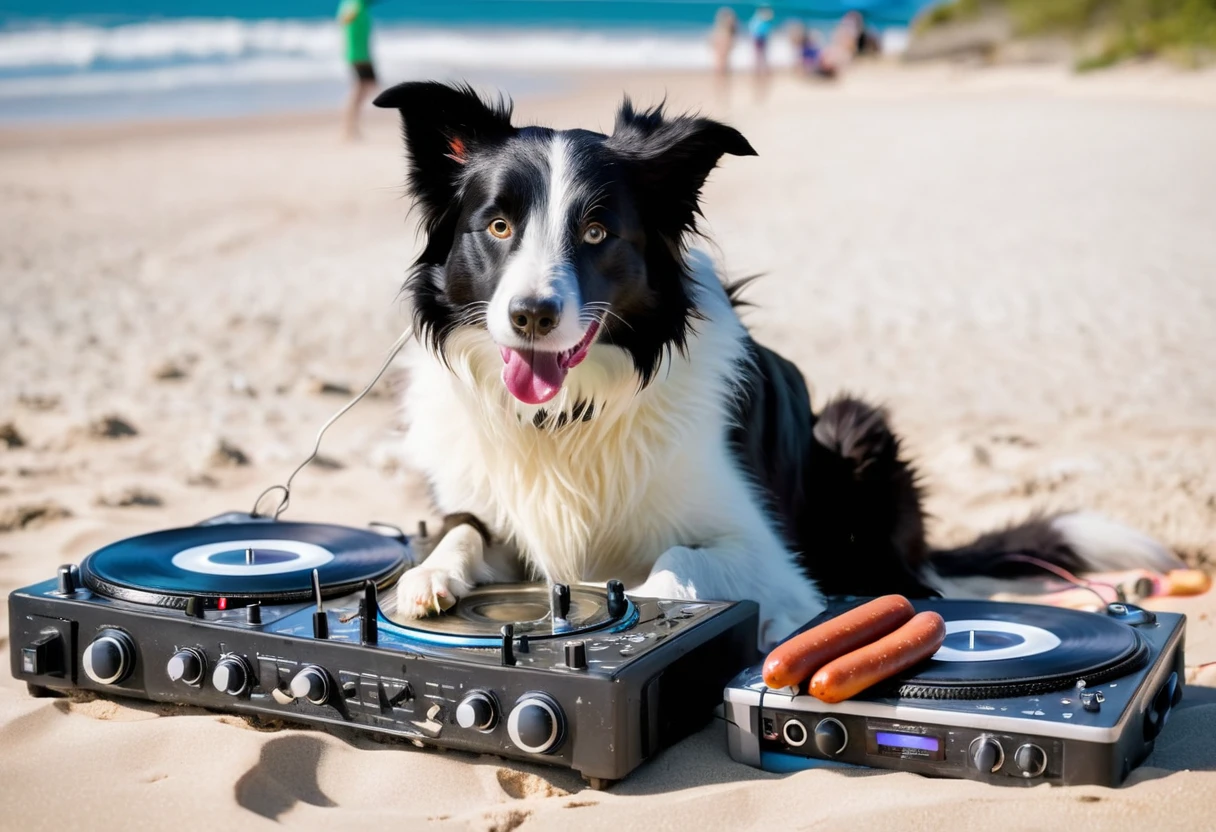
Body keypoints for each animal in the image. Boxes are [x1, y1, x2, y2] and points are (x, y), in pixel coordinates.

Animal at [374, 81, 1181, 647]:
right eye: (497, 226)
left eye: (597, 232)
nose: (532, 316)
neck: (569, 417)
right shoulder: (489, 503)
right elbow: (461, 530)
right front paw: (427, 577)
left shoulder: (763, 548)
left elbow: (678, 564)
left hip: (856, 428)